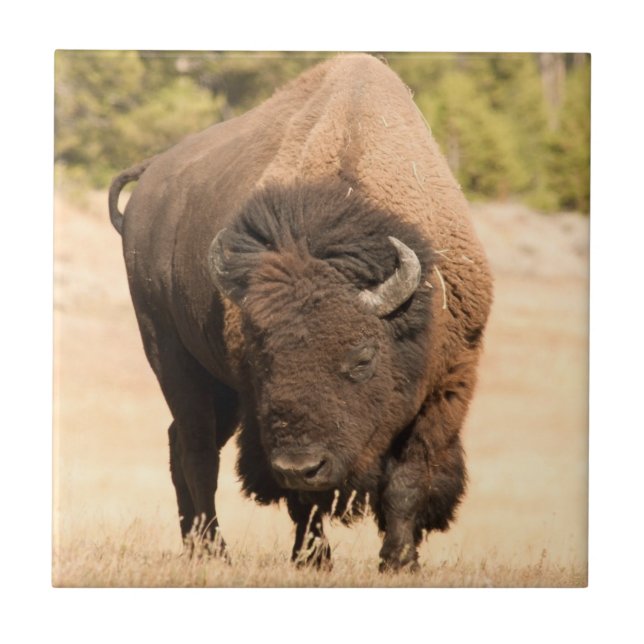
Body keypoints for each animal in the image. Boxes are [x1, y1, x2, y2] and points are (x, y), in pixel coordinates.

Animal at [109, 54, 493, 571]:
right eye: (263, 358)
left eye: (362, 358)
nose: (301, 465)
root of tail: (151, 175)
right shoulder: (263, 414)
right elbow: (304, 501)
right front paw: (314, 559)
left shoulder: (447, 386)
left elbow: (408, 479)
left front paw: (399, 562)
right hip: (172, 358)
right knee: (197, 451)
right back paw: (214, 550)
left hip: (219, 390)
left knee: (182, 444)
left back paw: (195, 546)